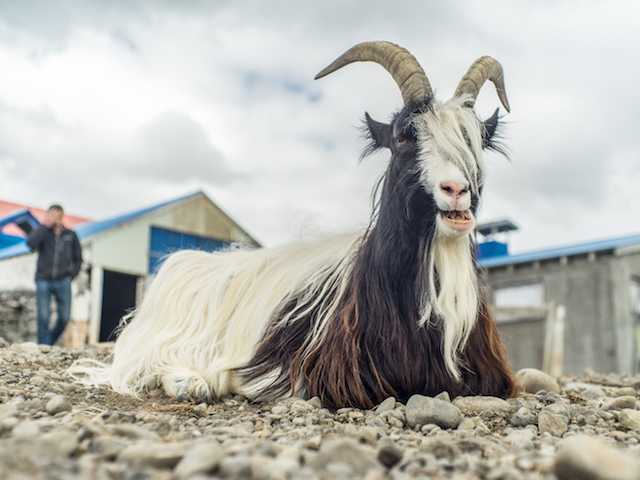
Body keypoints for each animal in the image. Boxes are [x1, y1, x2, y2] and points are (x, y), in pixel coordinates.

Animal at [72, 42, 516, 408]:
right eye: (404, 137)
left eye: (476, 140)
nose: (456, 190)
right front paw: (217, 381)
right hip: (155, 342)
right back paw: (190, 383)